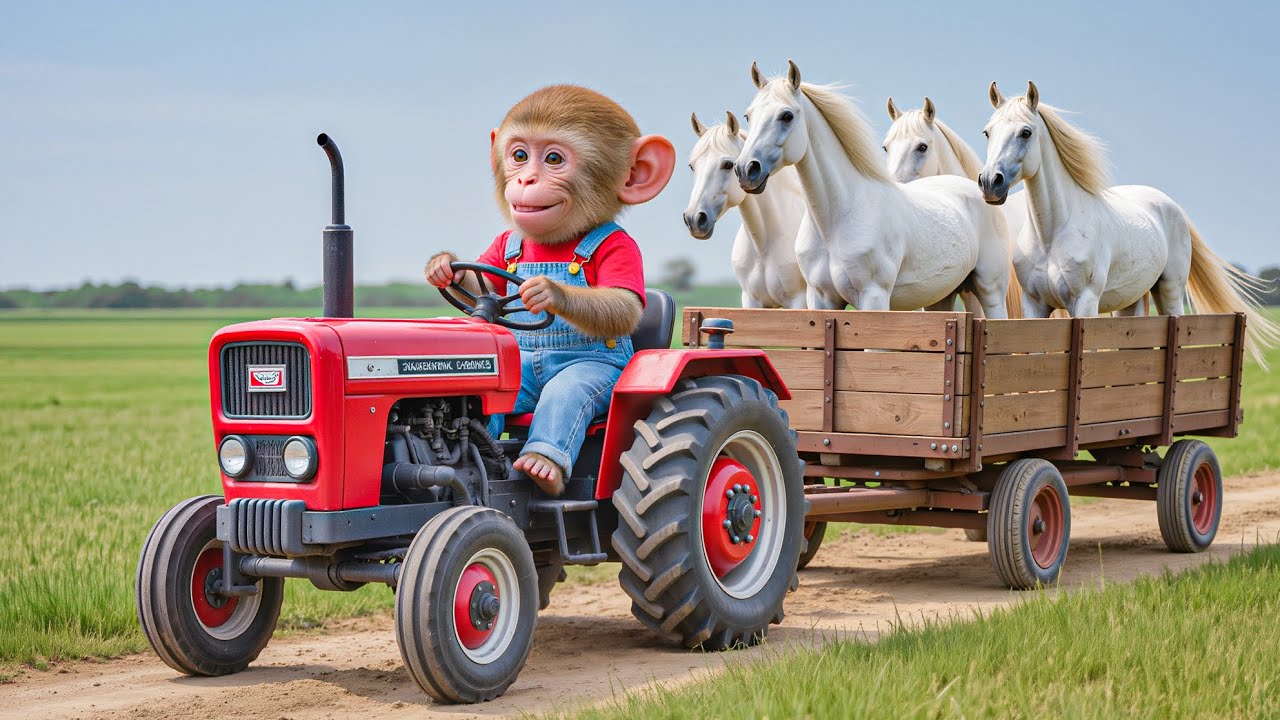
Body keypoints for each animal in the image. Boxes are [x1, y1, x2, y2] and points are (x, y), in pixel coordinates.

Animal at [425, 85, 676, 496]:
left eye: (554, 159)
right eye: (519, 156)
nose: (526, 181)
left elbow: (623, 303)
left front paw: (547, 291)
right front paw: (441, 265)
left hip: (605, 381)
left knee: (565, 397)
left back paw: (542, 467)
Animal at [684, 111, 808, 308]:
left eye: (728, 164)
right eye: (692, 165)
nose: (694, 219)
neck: (765, 246)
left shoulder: (799, 300)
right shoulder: (751, 301)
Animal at [735, 61, 1010, 318]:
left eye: (787, 116)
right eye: (748, 116)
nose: (746, 169)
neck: (836, 221)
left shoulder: (873, 298)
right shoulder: (821, 300)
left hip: (990, 291)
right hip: (940, 299)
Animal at [978, 81, 1276, 364]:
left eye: (1026, 132)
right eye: (988, 132)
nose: (990, 182)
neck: (1052, 235)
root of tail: (1171, 206)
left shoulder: (1085, 303)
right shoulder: (1034, 306)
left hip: (1170, 292)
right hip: (1128, 303)